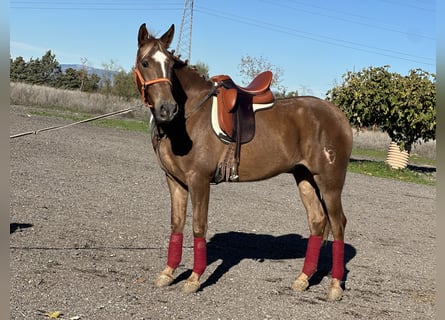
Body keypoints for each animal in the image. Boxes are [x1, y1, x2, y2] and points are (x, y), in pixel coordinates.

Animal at [134, 23, 352, 302]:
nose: (167, 109)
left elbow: (198, 226)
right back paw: (303, 279)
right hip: (304, 177)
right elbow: (176, 224)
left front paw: (194, 279)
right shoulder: (174, 181)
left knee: (338, 224)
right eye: (145, 62)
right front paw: (168, 273)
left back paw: (335, 286)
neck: (188, 118)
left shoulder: (198, 180)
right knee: (317, 221)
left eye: (171, 65)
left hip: (330, 183)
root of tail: (338, 115)